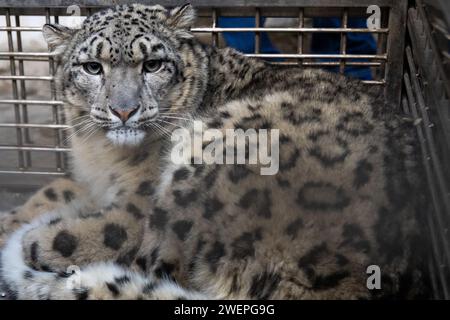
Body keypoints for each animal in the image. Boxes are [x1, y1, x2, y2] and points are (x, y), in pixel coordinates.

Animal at [0, 3, 428, 298]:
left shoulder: (137, 201)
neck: (103, 156)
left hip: (211, 151)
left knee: (158, 259)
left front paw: (36, 238)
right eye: (92, 67)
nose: (124, 110)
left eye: (153, 64)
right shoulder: (90, 179)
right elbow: (55, 188)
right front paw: (11, 219)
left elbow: (113, 227)